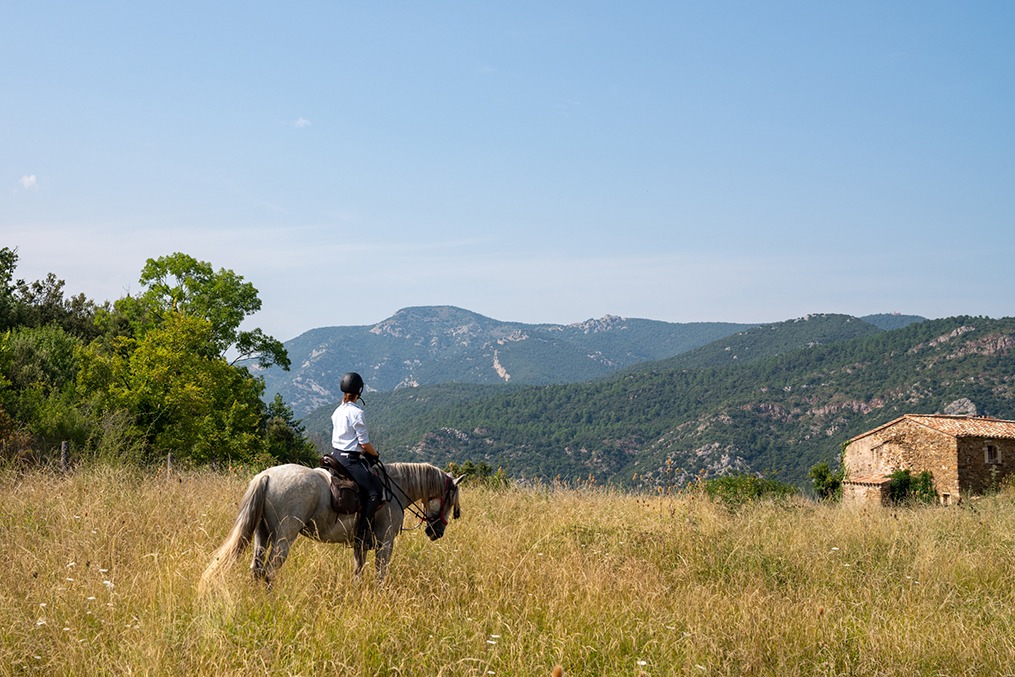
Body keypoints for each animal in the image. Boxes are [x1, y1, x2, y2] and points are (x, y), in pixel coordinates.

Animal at [200, 461, 463, 588]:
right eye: (450, 500)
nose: (437, 532)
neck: (394, 490)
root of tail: (267, 476)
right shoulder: (385, 543)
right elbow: (381, 572)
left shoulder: (360, 543)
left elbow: (358, 570)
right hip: (284, 538)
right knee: (270, 571)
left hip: (261, 534)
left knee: (256, 568)